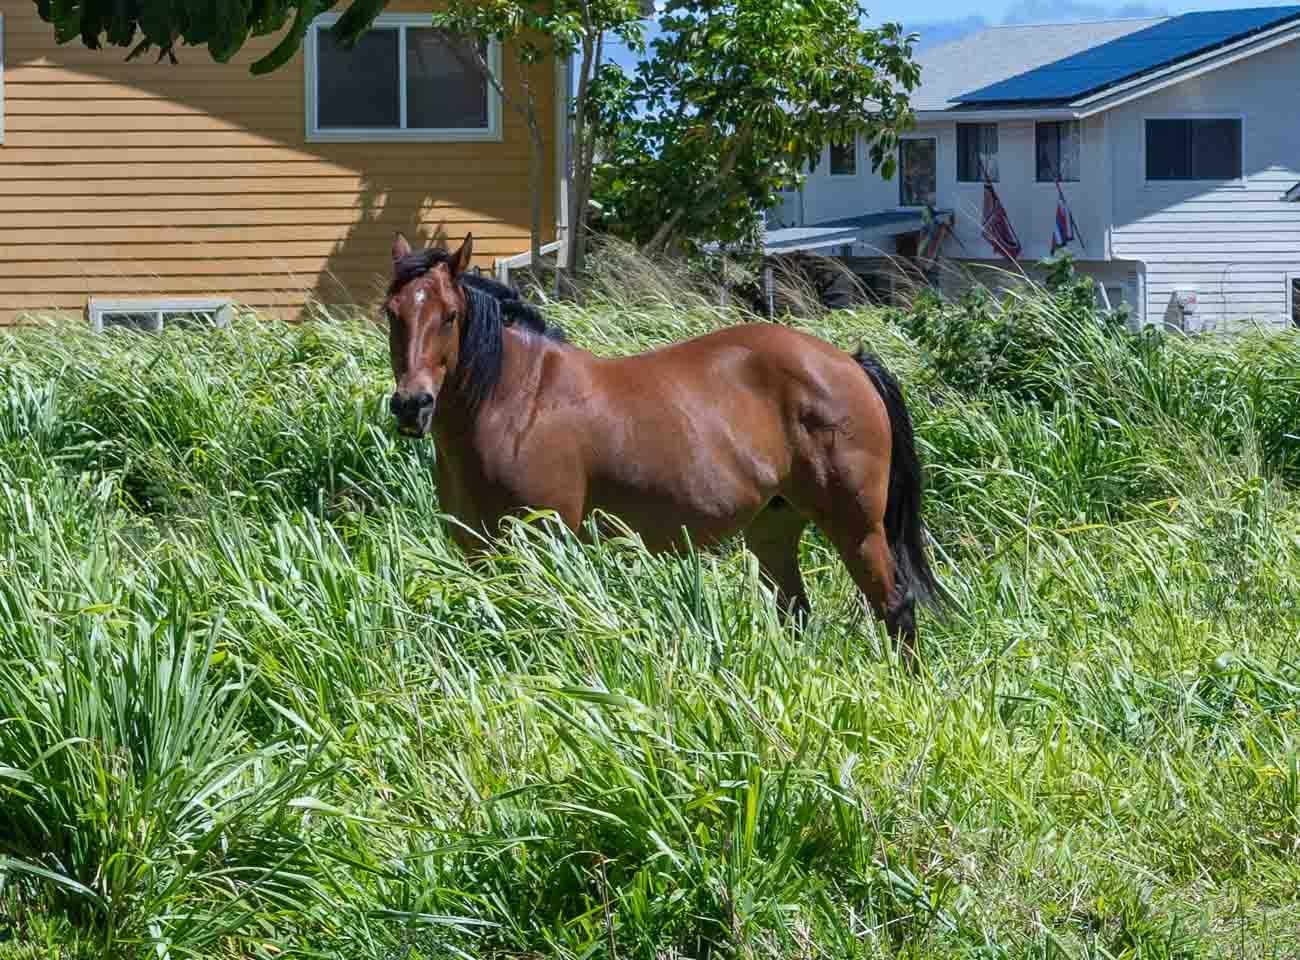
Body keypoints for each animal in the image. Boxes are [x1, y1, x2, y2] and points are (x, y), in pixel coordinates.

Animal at [384, 231, 946, 671]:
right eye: (391, 313)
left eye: (449, 316)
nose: (412, 405)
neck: (519, 400)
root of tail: (849, 364)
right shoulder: (477, 550)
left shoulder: (544, 542)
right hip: (774, 526)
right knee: (795, 612)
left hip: (857, 526)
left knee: (895, 607)